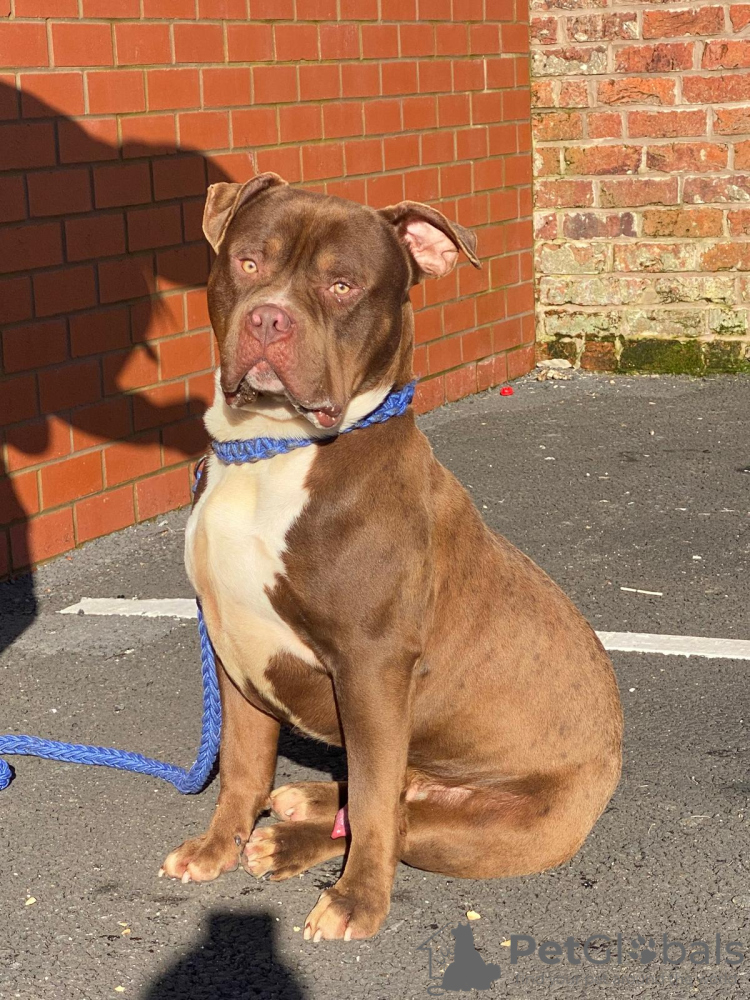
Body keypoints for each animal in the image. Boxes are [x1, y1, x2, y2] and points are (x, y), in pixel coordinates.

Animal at [161, 173, 623, 942]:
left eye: (343, 285)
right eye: (249, 262)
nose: (268, 320)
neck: (272, 450)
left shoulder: (371, 663)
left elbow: (376, 807)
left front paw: (356, 902)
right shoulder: (233, 647)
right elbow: (243, 767)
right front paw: (215, 847)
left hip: (488, 827)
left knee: (399, 813)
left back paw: (294, 843)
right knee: (383, 791)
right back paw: (303, 807)